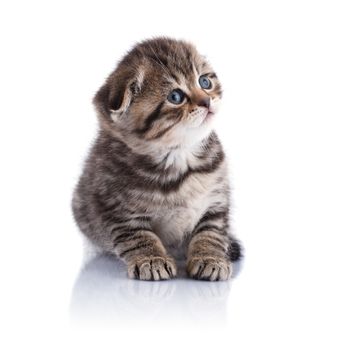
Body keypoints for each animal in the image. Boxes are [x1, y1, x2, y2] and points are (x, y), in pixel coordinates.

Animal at [71, 37, 241, 280]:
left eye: (204, 82)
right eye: (175, 97)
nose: (207, 101)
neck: (180, 157)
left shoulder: (216, 200)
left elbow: (212, 231)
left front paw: (210, 258)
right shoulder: (115, 209)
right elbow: (138, 236)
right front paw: (152, 259)